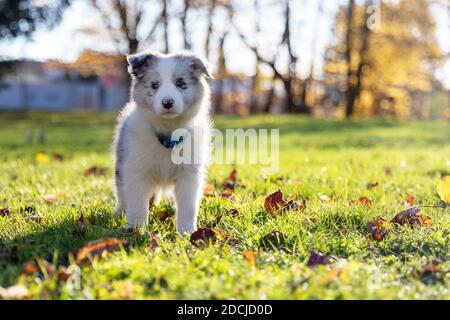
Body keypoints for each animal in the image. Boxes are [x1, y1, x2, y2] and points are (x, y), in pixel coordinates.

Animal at [112, 50, 211, 235]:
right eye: (154, 85)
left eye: (180, 83)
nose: (167, 102)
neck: (169, 131)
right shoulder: (136, 171)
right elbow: (137, 203)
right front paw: (136, 229)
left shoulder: (189, 174)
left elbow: (188, 206)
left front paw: (187, 232)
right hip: (121, 166)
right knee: (122, 193)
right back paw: (119, 212)